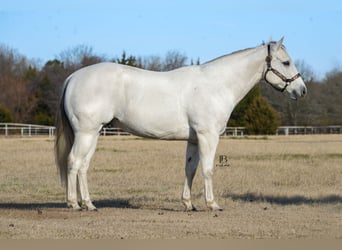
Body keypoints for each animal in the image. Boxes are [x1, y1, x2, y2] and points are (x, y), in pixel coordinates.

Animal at [55, 37, 308, 211]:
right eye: (286, 62)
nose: (302, 90)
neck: (216, 85)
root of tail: (73, 77)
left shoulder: (194, 139)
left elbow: (190, 169)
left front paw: (188, 204)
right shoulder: (208, 136)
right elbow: (208, 169)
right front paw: (212, 204)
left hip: (94, 133)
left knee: (83, 166)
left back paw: (88, 203)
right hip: (86, 133)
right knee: (74, 161)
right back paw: (74, 203)